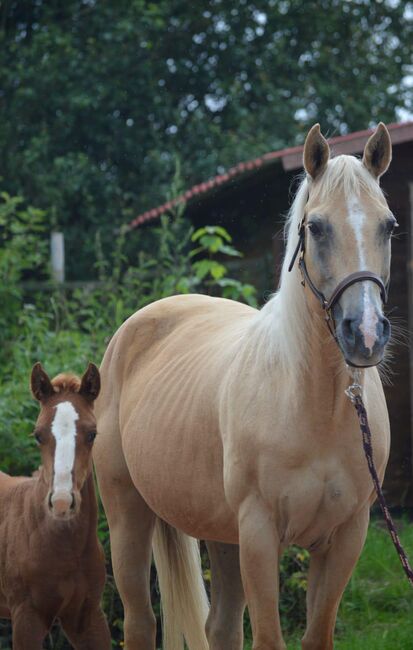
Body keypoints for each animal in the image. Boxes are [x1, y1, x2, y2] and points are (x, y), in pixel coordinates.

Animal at [94, 123, 392, 648]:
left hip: (220, 533)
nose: (366, 334)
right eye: (316, 227)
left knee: (221, 626)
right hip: (128, 514)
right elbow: (269, 638)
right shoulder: (258, 533)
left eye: (389, 226)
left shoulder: (345, 537)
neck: (314, 405)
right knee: (140, 620)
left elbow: (316, 635)